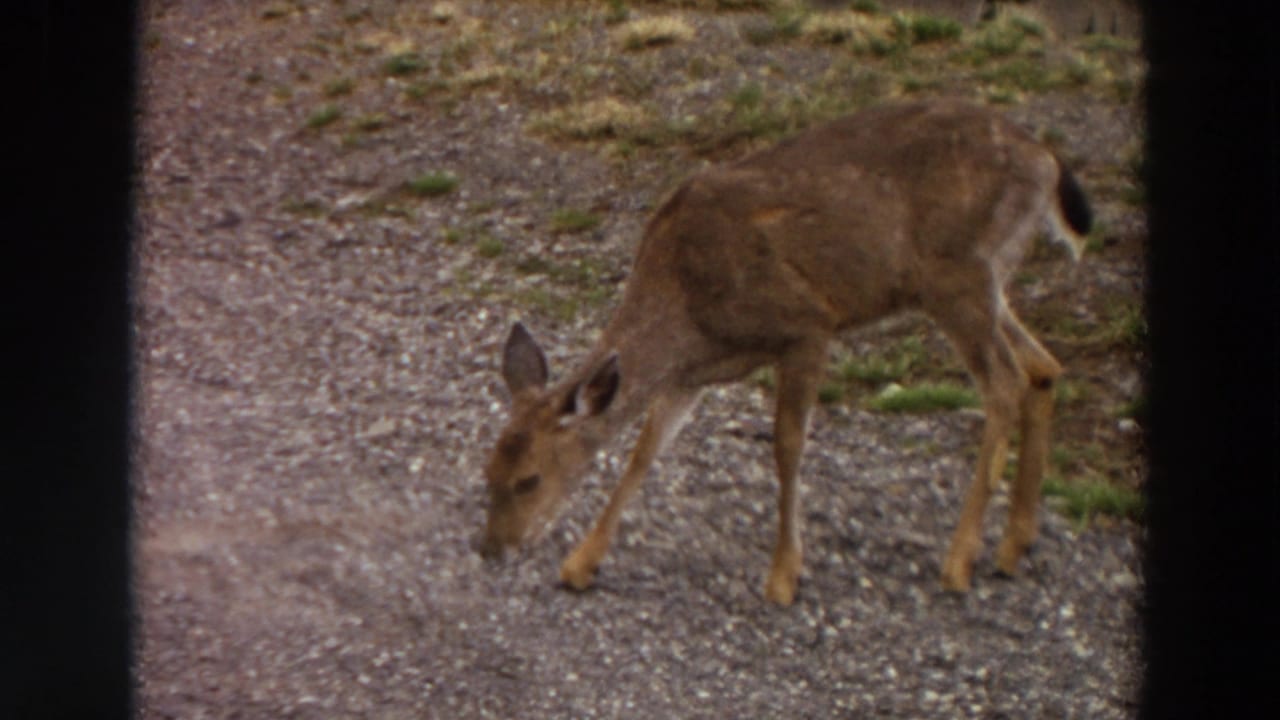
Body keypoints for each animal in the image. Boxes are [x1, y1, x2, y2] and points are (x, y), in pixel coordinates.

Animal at [478, 98, 1093, 605]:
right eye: (487, 471)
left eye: (529, 479)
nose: (491, 550)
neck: (686, 305)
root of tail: (1048, 160)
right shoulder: (691, 373)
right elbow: (644, 453)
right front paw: (580, 563)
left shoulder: (807, 326)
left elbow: (787, 448)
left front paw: (783, 576)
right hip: (987, 280)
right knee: (1044, 367)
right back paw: (1014, 546)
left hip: (957, 275)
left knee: (1005, 383)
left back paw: (960, 560)